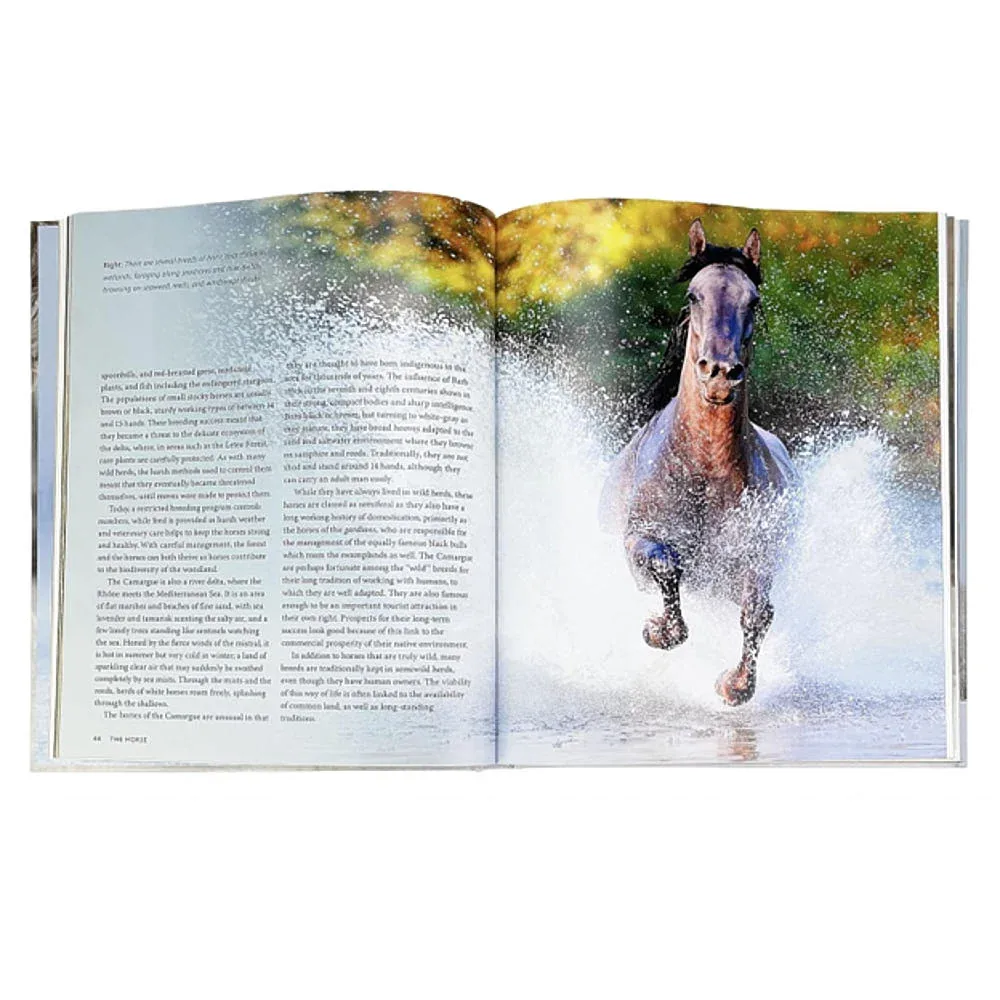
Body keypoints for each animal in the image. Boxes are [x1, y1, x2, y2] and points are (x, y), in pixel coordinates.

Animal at [599, 220, 797, 705]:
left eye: (753, 300)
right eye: (693, 295)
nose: (720, 373)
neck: (703, 472)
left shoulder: (754, 557)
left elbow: (757, 612)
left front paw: (735, 685)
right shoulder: (638, 539)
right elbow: (668, 566)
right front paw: (658, 631)